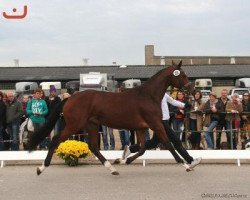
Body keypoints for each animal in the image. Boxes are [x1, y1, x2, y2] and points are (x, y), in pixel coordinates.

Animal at [27, 60, 193, 175]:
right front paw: (185, 165)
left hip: (92, 125)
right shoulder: (155, 124)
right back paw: (41, 168)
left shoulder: (141, 127)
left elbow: (142, 148)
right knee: (56, 140)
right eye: (182, 74)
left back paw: (112, 168)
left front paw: (124, 160)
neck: (148, 96)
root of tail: (69, 98)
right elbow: (168, 144)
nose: (190, 88)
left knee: (93, 147)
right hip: (74, 125)